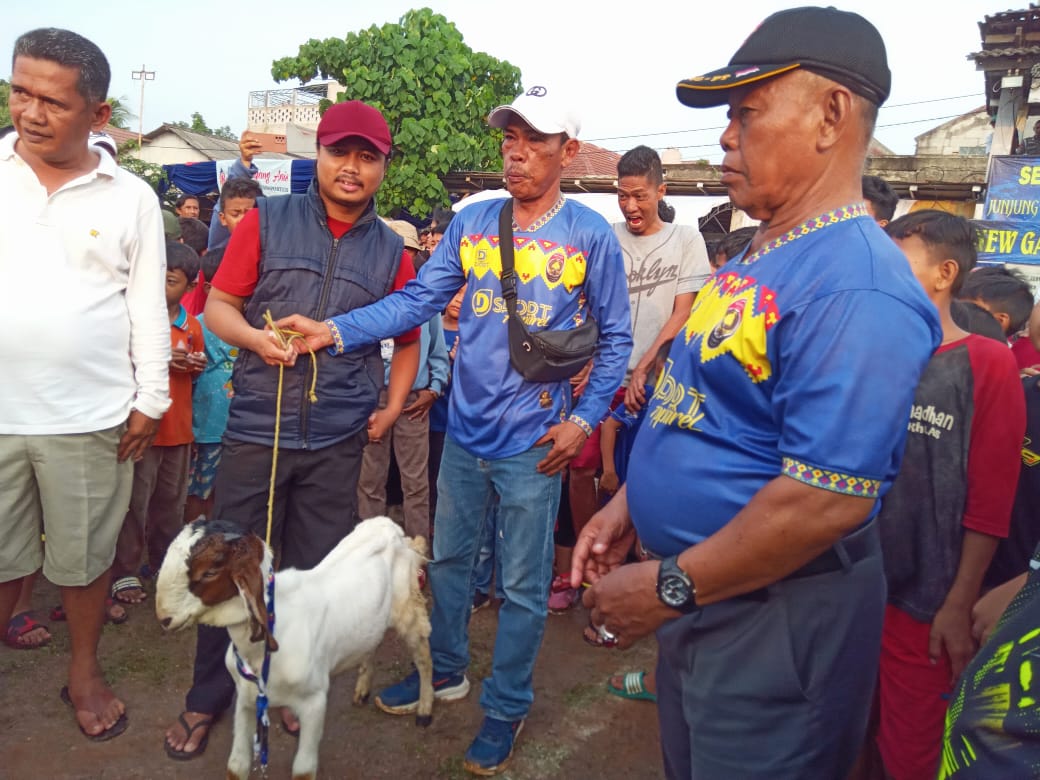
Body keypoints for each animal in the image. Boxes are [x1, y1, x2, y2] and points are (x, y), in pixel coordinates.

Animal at [152, 520, 430, 780]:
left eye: (210, 571)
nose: (164, 618)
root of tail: (391, 527)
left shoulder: (315, 702)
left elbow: (303, 770)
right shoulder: (246, 697)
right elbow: (236, 766)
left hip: (408, 608)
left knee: (423, 654)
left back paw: (425, 710)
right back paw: (362, 690)